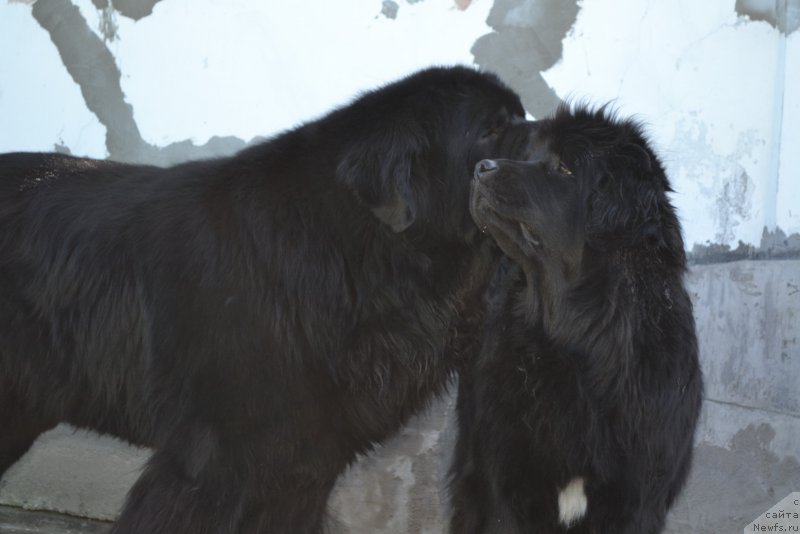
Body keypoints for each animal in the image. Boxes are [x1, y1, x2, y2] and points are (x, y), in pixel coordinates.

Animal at [450, 105, 708, 534]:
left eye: (564, 168)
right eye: (530, 156)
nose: (481, 168)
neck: (578, 340)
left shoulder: (638, 497)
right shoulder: (505, 488)